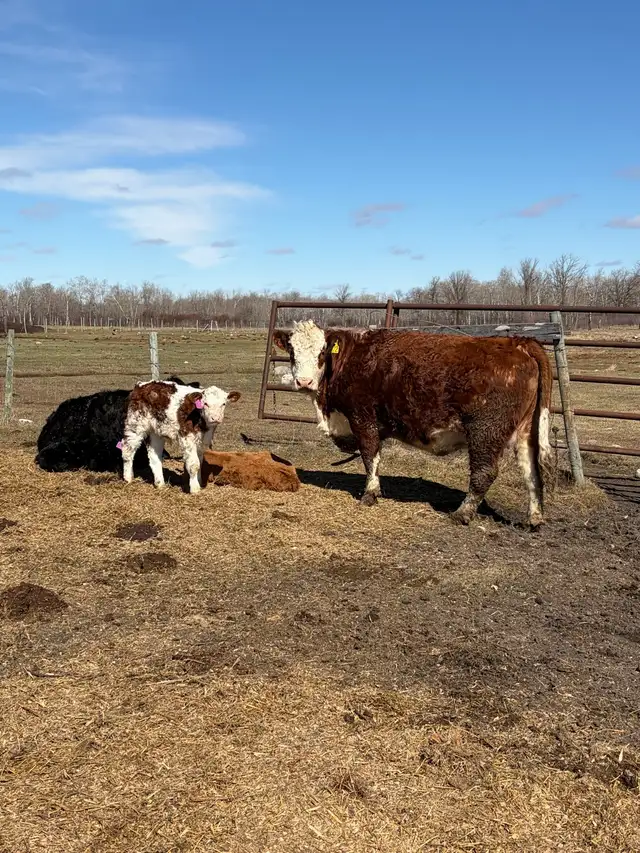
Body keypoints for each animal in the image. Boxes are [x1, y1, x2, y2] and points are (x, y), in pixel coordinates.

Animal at [274, 320, 554, 527]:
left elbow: (370, 456)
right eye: (292, 351)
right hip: (526, 431)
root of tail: (518, 342)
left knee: (485, 472)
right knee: (531, 470)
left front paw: (370, 494)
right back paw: (534, 518)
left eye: (321, 352)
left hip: (485, 431)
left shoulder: (363, 418)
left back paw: (461, 514)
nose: (304, 382)